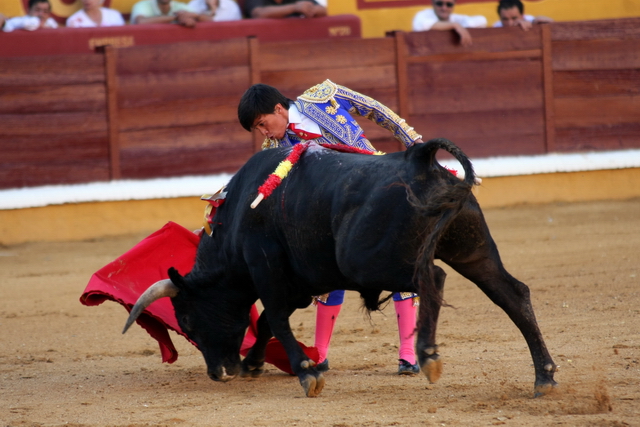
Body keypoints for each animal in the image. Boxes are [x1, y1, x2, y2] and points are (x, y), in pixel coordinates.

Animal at [124, 140, 556, 398]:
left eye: (188, 322)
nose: (219, 373)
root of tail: (420, 161)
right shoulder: (296, 283)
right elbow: (264, 323)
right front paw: (254, 364)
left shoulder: (266, 269)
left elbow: (273, 319)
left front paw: (306, 373)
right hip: (473, 250)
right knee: (513, 294)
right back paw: (544, 376)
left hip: (369, 260)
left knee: (432, 279)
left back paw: (428, 355)